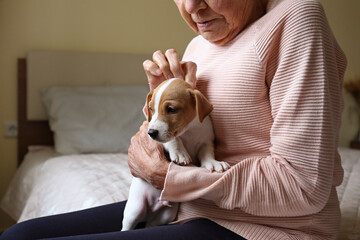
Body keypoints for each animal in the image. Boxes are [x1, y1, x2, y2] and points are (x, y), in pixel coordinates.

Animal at [121, 78, 231, 231]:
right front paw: (180, 153)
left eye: (171, 109)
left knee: (152, 224)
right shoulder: (163, 140)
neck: (189, 130)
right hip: (135, 208)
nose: (151, 133)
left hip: (167, 215)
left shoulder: (206, 142)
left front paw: (214, 164)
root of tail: (150, 211)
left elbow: (207, 154)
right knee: (127, 226)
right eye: (151, 109)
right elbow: (174, 139)